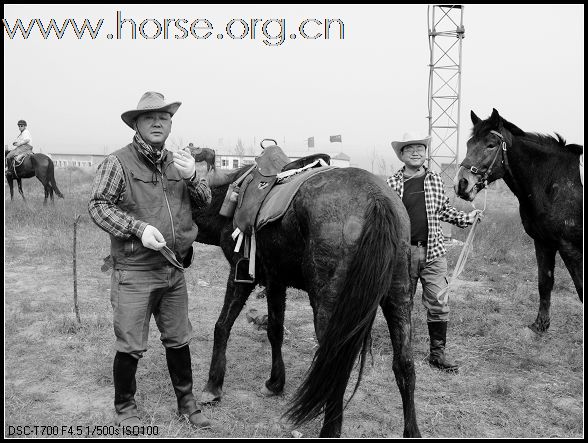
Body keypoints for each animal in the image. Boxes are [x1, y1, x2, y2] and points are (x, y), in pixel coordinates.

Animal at [191, 148, 420, 438]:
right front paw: (275, 383)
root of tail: (377, 200)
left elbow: (222, 326)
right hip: (399, 296)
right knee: (404, 363)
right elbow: (274, 330)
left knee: (334, 365)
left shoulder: (240, 274)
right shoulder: (276, 281)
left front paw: (213, 387)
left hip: (329, 306)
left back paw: (329, 430)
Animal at [454, 109, 584, 334]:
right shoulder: (543, 242)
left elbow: (580, 288)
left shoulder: (571, 248)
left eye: (491, 144)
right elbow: (545, 281)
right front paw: (540, 326)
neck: (555, 185)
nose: (462, 184)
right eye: (469, 143)